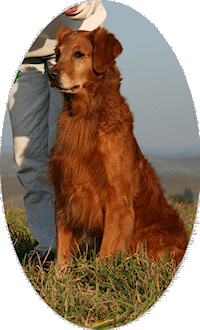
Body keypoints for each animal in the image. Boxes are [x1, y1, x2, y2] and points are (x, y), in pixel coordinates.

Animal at [48, 26, 189, 268]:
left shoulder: (116, 197)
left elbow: (108, 246)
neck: (86, 116)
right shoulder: (65, 191)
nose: (52, 74)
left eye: (79, 54)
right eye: (58, 54)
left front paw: (100, 273)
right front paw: (58, 275)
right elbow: (62, 249)